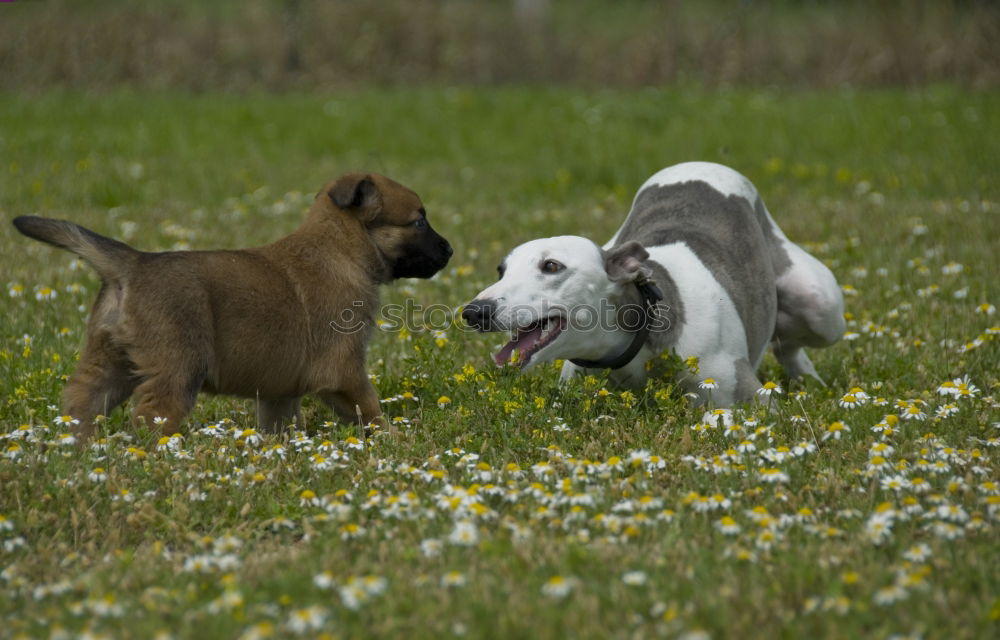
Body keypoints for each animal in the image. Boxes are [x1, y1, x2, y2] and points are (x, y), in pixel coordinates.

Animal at [9, 172, 450, 438]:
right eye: (419, 222)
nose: (449, 250)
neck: (341, 249)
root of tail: (134, 262)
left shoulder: (279, 391)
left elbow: (278, 424)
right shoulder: (344, 370)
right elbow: (369, 410)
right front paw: (394, 438)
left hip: (110, 364)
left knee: (81, 401)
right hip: (178, 366)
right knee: (151, 416)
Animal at [460, 162, 844, 408]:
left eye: (551, 266)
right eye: (501, 270)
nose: (474, 312)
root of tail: (704, 162)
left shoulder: (752, 401)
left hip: (820, 304)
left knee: (791, 341)